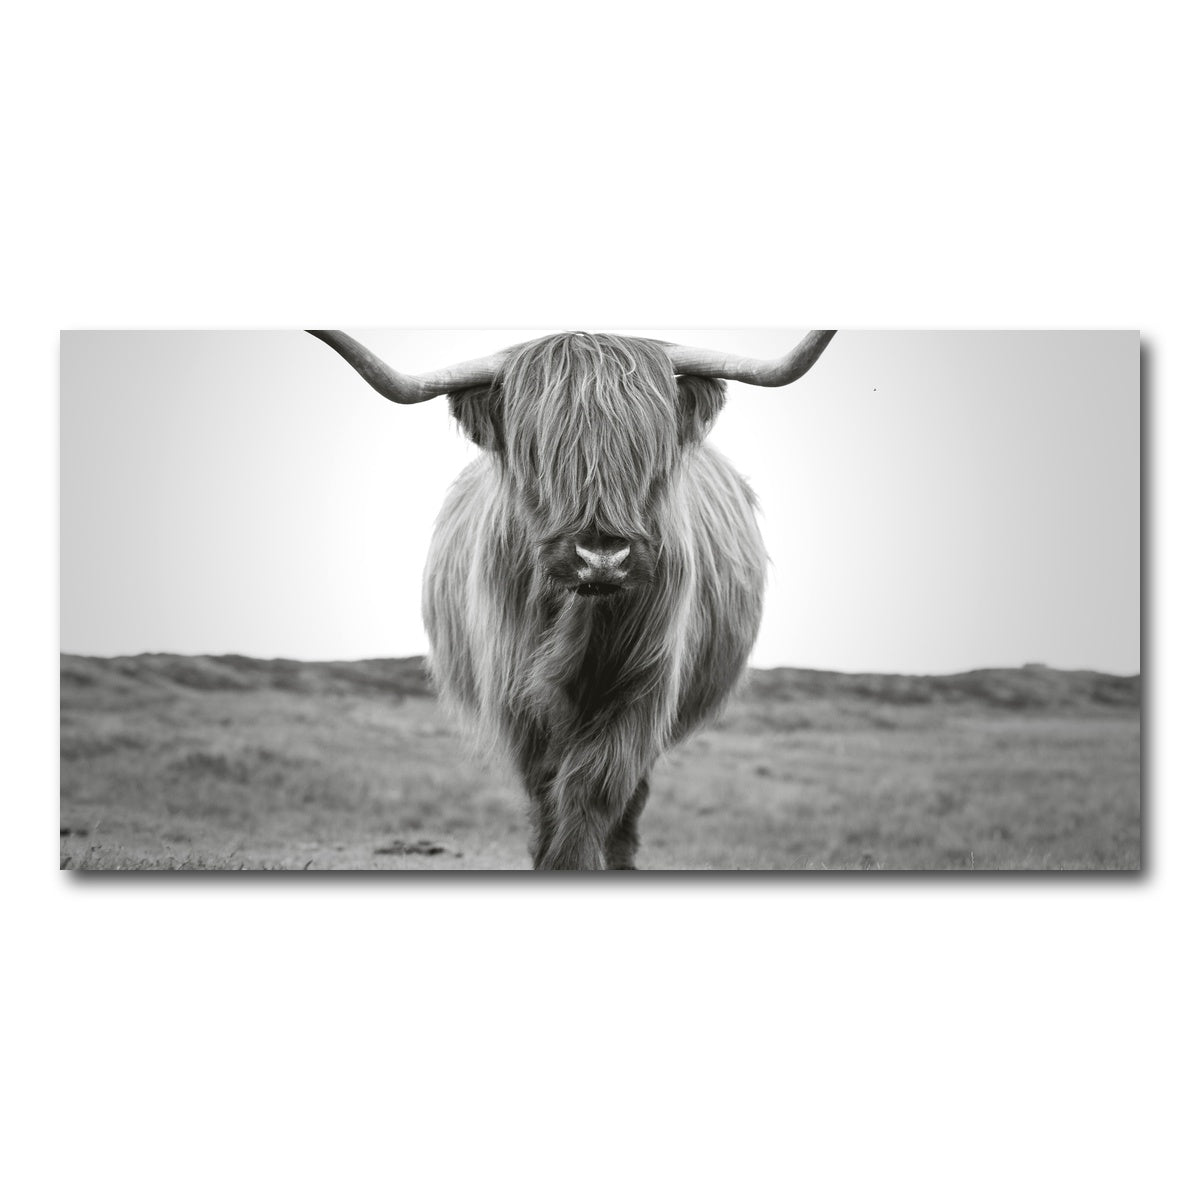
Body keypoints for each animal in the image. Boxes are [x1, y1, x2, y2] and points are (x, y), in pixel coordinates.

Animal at [309, 328, 837, 869]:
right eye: (536, 452)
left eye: (649, 449)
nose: (601, 557)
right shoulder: (516, 692)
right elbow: (545, 786)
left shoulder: (642, 688)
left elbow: (595, 786)